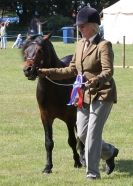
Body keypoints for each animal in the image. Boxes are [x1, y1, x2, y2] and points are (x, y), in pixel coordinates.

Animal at [21, 33, 84, 174]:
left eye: (39, 51)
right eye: (26, 51)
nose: (28, 70)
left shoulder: (69, 117)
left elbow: (72, 140)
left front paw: (77, 162)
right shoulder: (45, 117)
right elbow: (48, 142)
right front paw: (48, 167)